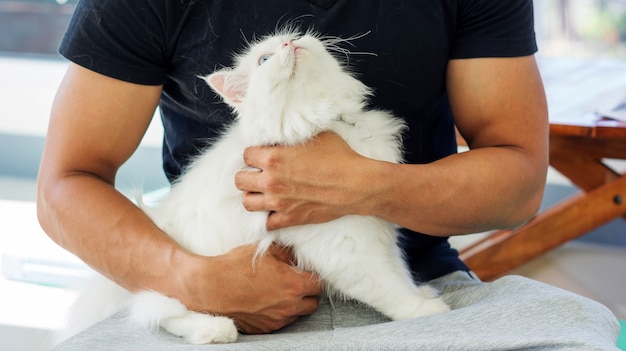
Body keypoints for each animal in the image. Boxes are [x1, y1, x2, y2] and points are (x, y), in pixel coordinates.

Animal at [68, 31, 448, 346]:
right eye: (265, 60)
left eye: (296, 36)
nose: (289, 43)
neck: (323, 120)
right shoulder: (345, 247)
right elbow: (388, 288)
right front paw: (425, 310)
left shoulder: (377, 227)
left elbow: (400, 272)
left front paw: (424, 294)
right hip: (181, 283)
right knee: (163, 312)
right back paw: (216, 330)